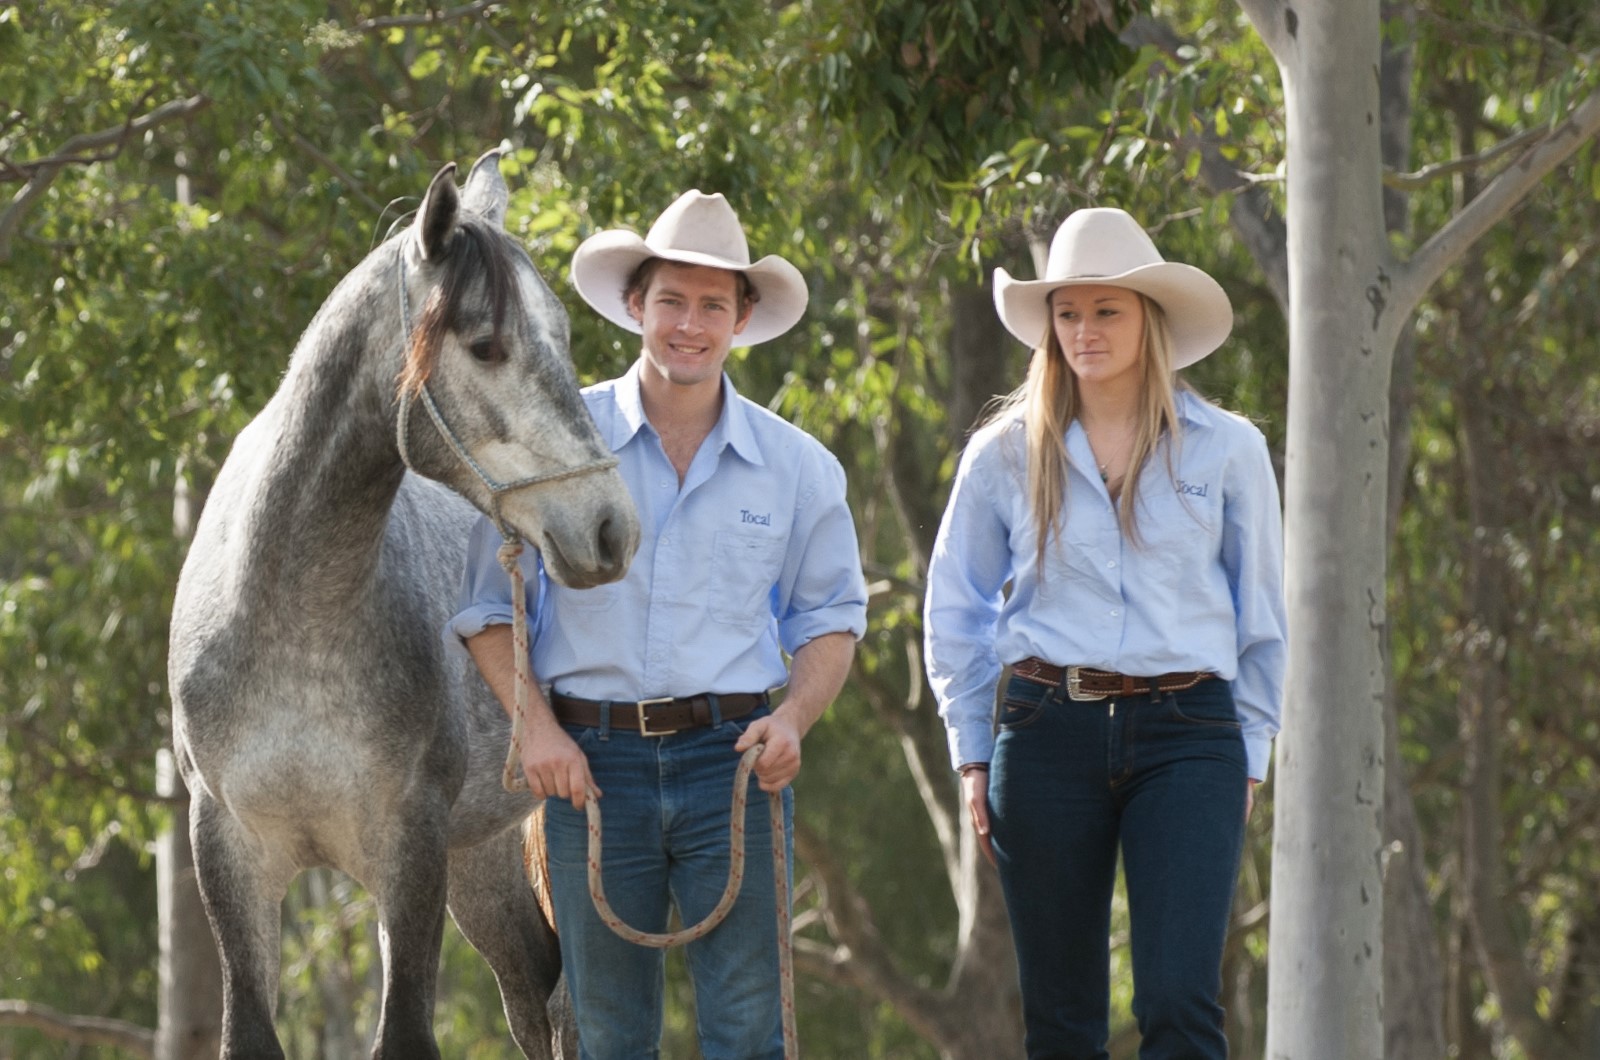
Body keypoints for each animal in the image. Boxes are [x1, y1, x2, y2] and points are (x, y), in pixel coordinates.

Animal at [165, 151, 633, 1060]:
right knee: (537, 1000)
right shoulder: (228, 850)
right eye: (485, 345)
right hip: (483, 865)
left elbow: (405, 1033)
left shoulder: (409, 851)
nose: (610, 527)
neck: (297, 616)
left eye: (562, 336)